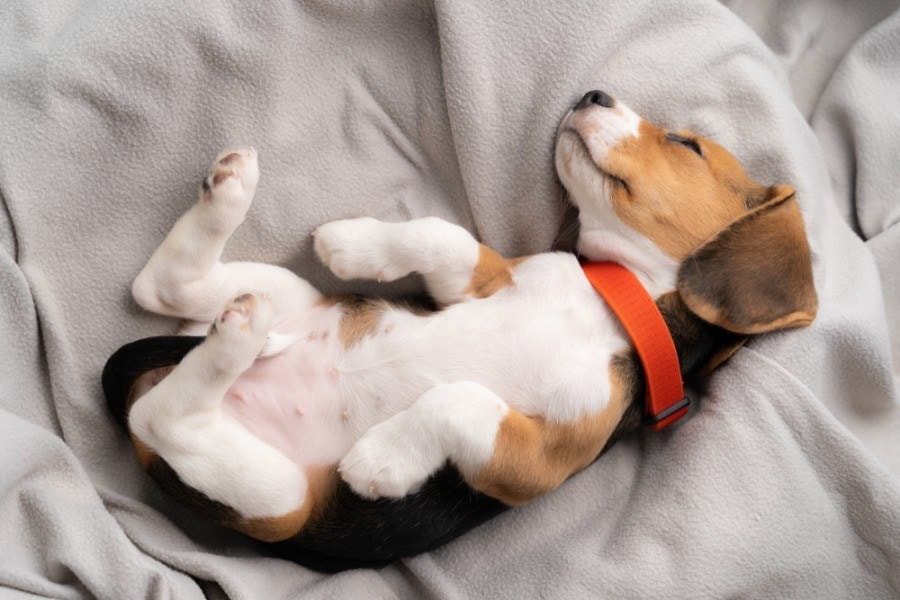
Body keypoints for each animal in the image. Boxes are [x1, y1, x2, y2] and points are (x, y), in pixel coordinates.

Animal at [103, 91, 816, 568]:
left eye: (686, 145)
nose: (593, 93)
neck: (621, 299)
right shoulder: (482, 280)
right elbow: (444, 238)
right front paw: (352, 243)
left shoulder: (541, 462)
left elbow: (464, 399)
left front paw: (382, 459)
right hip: (290, 301)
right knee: (161, 289)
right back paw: (230, 193)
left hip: (278, 501)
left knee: (164, 416)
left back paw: (238, 335)